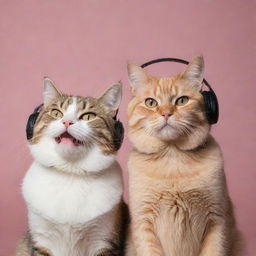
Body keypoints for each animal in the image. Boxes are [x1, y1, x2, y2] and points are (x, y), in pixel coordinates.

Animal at [16, 78, 128, 256]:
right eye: (56, 113)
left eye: (88, 116)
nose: (67, 121)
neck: (70, 172)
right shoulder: (42, 240)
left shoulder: (104, 240)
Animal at [125, 56, 243, 256]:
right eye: (151, 103)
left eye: (182, 100)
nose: (166, 113)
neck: (173, 159)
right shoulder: (144, 223)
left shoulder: (217, 220)